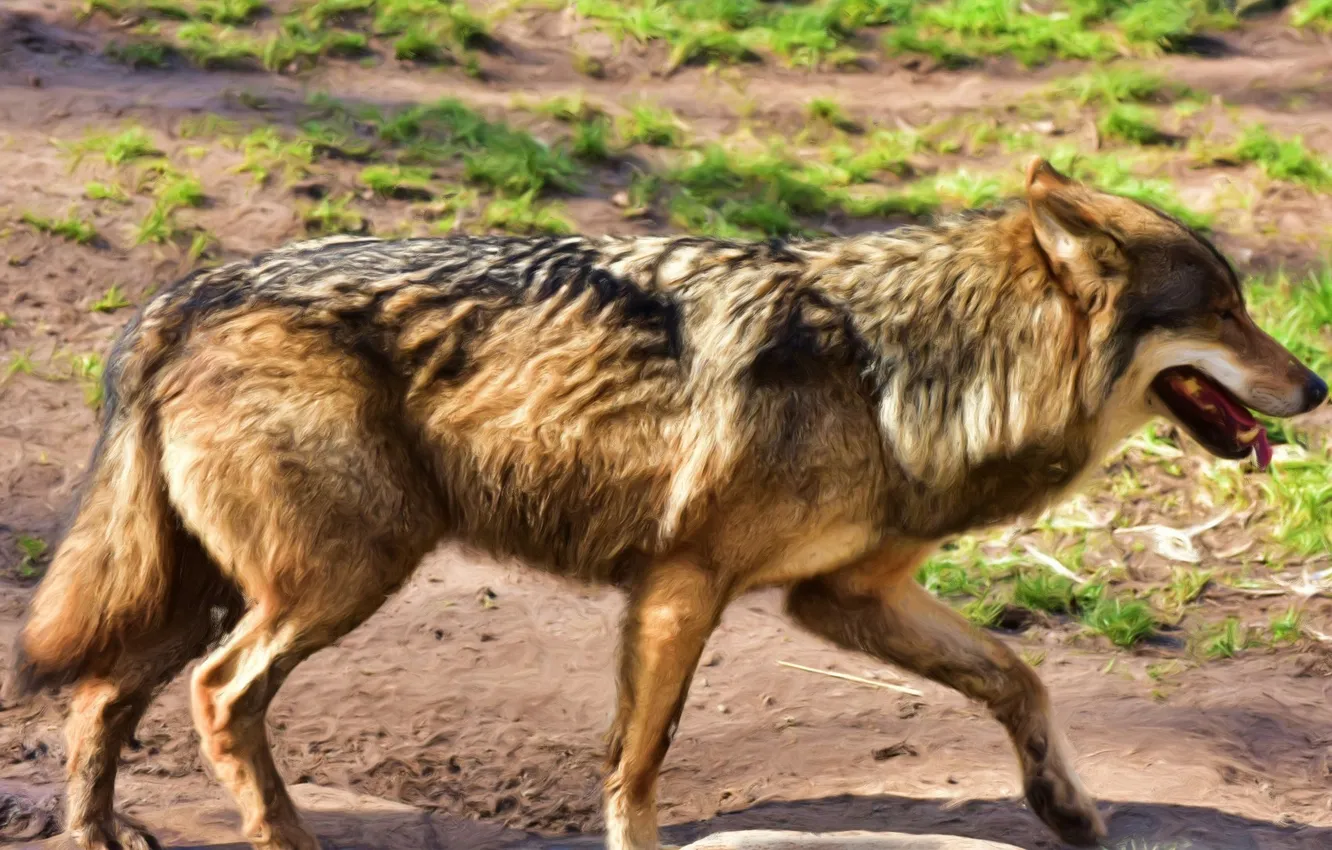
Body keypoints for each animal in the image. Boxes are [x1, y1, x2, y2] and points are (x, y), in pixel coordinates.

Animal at [11, 158, 1326, 850]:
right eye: (1224, 309)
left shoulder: (843, 598)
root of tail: (186, 290)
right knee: (217, 695)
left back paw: (94, 837)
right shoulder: (680, 586)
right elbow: (640, 756)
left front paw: (1069, 808)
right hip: (337, 577)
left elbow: (1020, 676)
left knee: (100, 696)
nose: (1315, 385)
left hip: (217, 586)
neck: (902, 363)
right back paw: (278, 837)